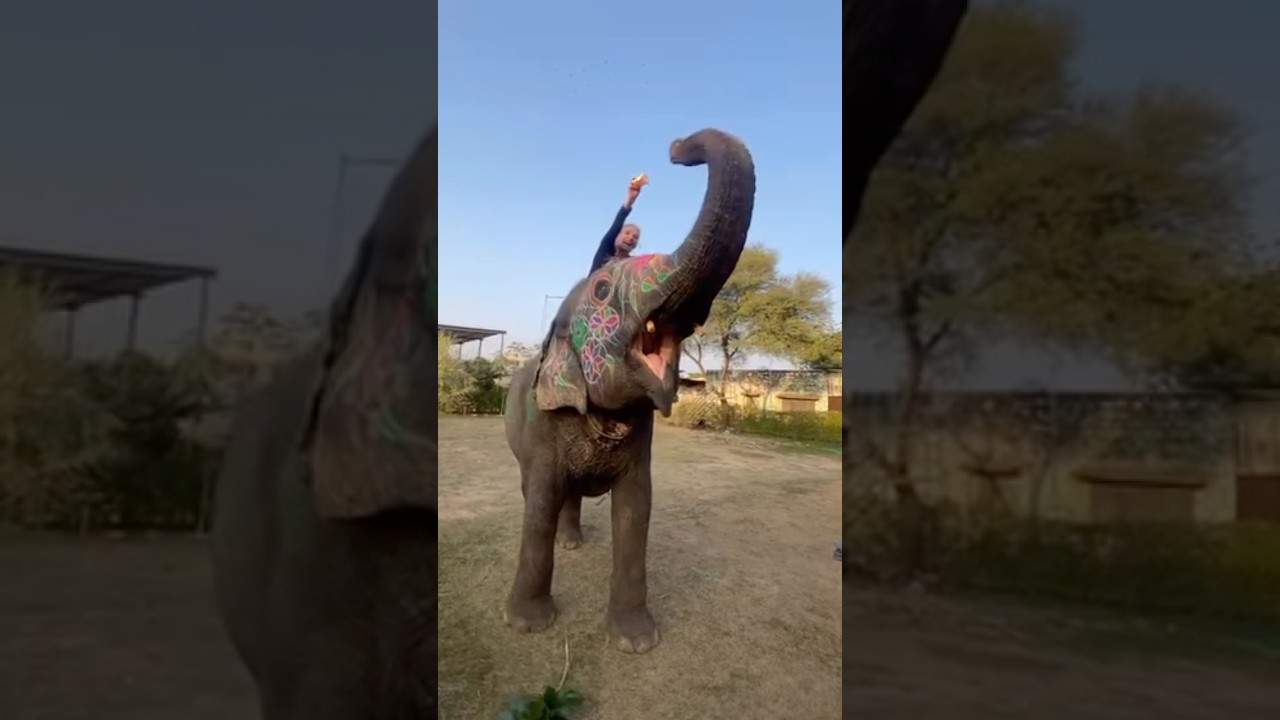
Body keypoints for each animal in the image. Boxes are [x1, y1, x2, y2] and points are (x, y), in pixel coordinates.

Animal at [502, 128, 756, 654]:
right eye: (602, 291)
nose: (677, 149)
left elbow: (636, 509)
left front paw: (636, 642)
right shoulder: (542, 429)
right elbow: (539, 502)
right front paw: (529, 625)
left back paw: (573, 542)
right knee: (534, 490)